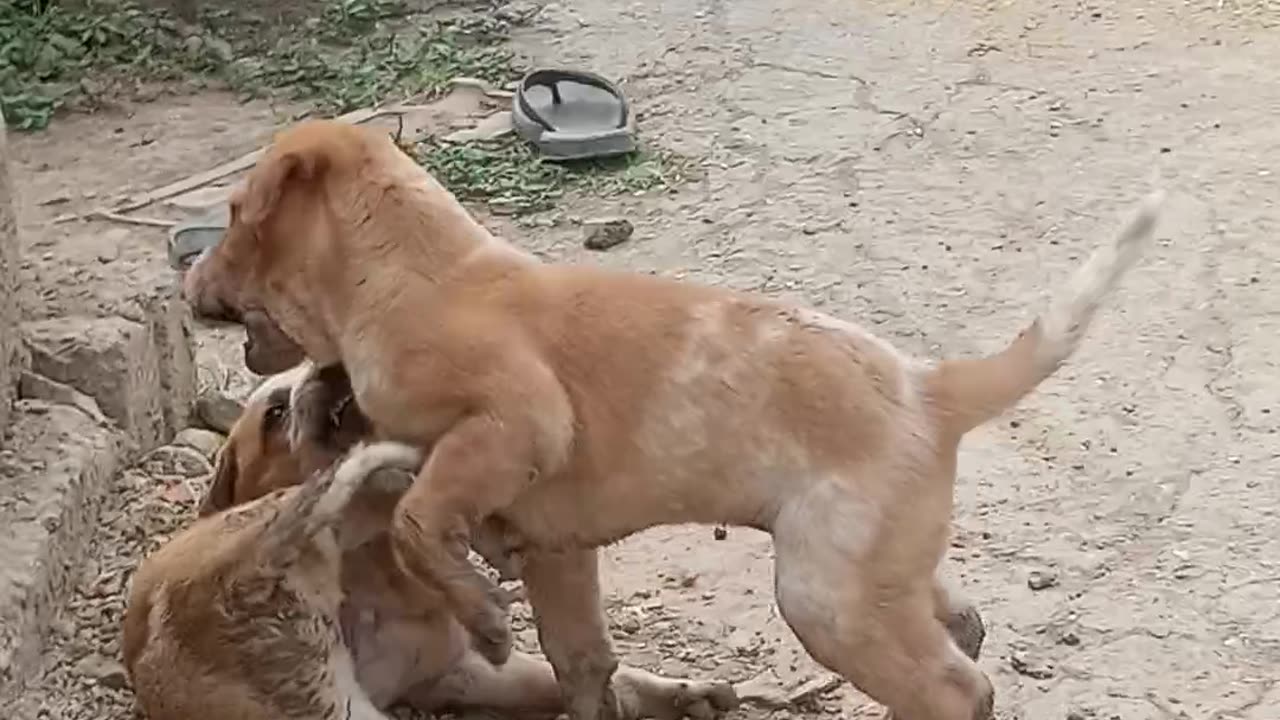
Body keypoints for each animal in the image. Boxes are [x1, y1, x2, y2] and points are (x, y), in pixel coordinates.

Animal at [122, 363, 742, 717]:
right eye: (274, 413)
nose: (333, 371)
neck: (371, 567)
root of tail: (251, 565)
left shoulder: (459, 673)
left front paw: (678, 691)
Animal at [185, 117, 1167, 717]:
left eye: (232, 214)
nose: (189, 283)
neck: (414, 273)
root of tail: (931, 386)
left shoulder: (516, 423)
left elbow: (422, 519)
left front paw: (485, 620)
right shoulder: (558, 551)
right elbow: (582, 665)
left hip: (823, 596)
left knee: (955, 689)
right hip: (871, 571)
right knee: (959, 633)